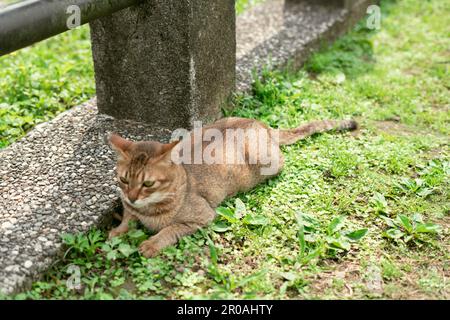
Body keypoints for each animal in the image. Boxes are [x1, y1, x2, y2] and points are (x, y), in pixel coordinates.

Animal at [107, 117, 356, 258]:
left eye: (148, 183)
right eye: (124, 180)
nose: (132, 197)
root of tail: (262, 124)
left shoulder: (202, 218)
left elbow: (169, 230)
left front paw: (151, 244)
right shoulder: (129, 206)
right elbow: (128, 218)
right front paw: (118, 231)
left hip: (268, 162)